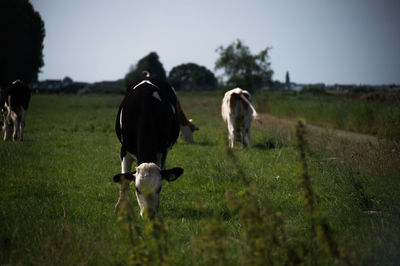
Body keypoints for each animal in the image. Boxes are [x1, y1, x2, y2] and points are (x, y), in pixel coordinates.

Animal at [113, 77, 184, 218]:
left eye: (159, 188)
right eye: (137, 189)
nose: (149, 214)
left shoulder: (162, 151)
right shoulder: (124, 150)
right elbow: (124, 182)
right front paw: (121, 209)